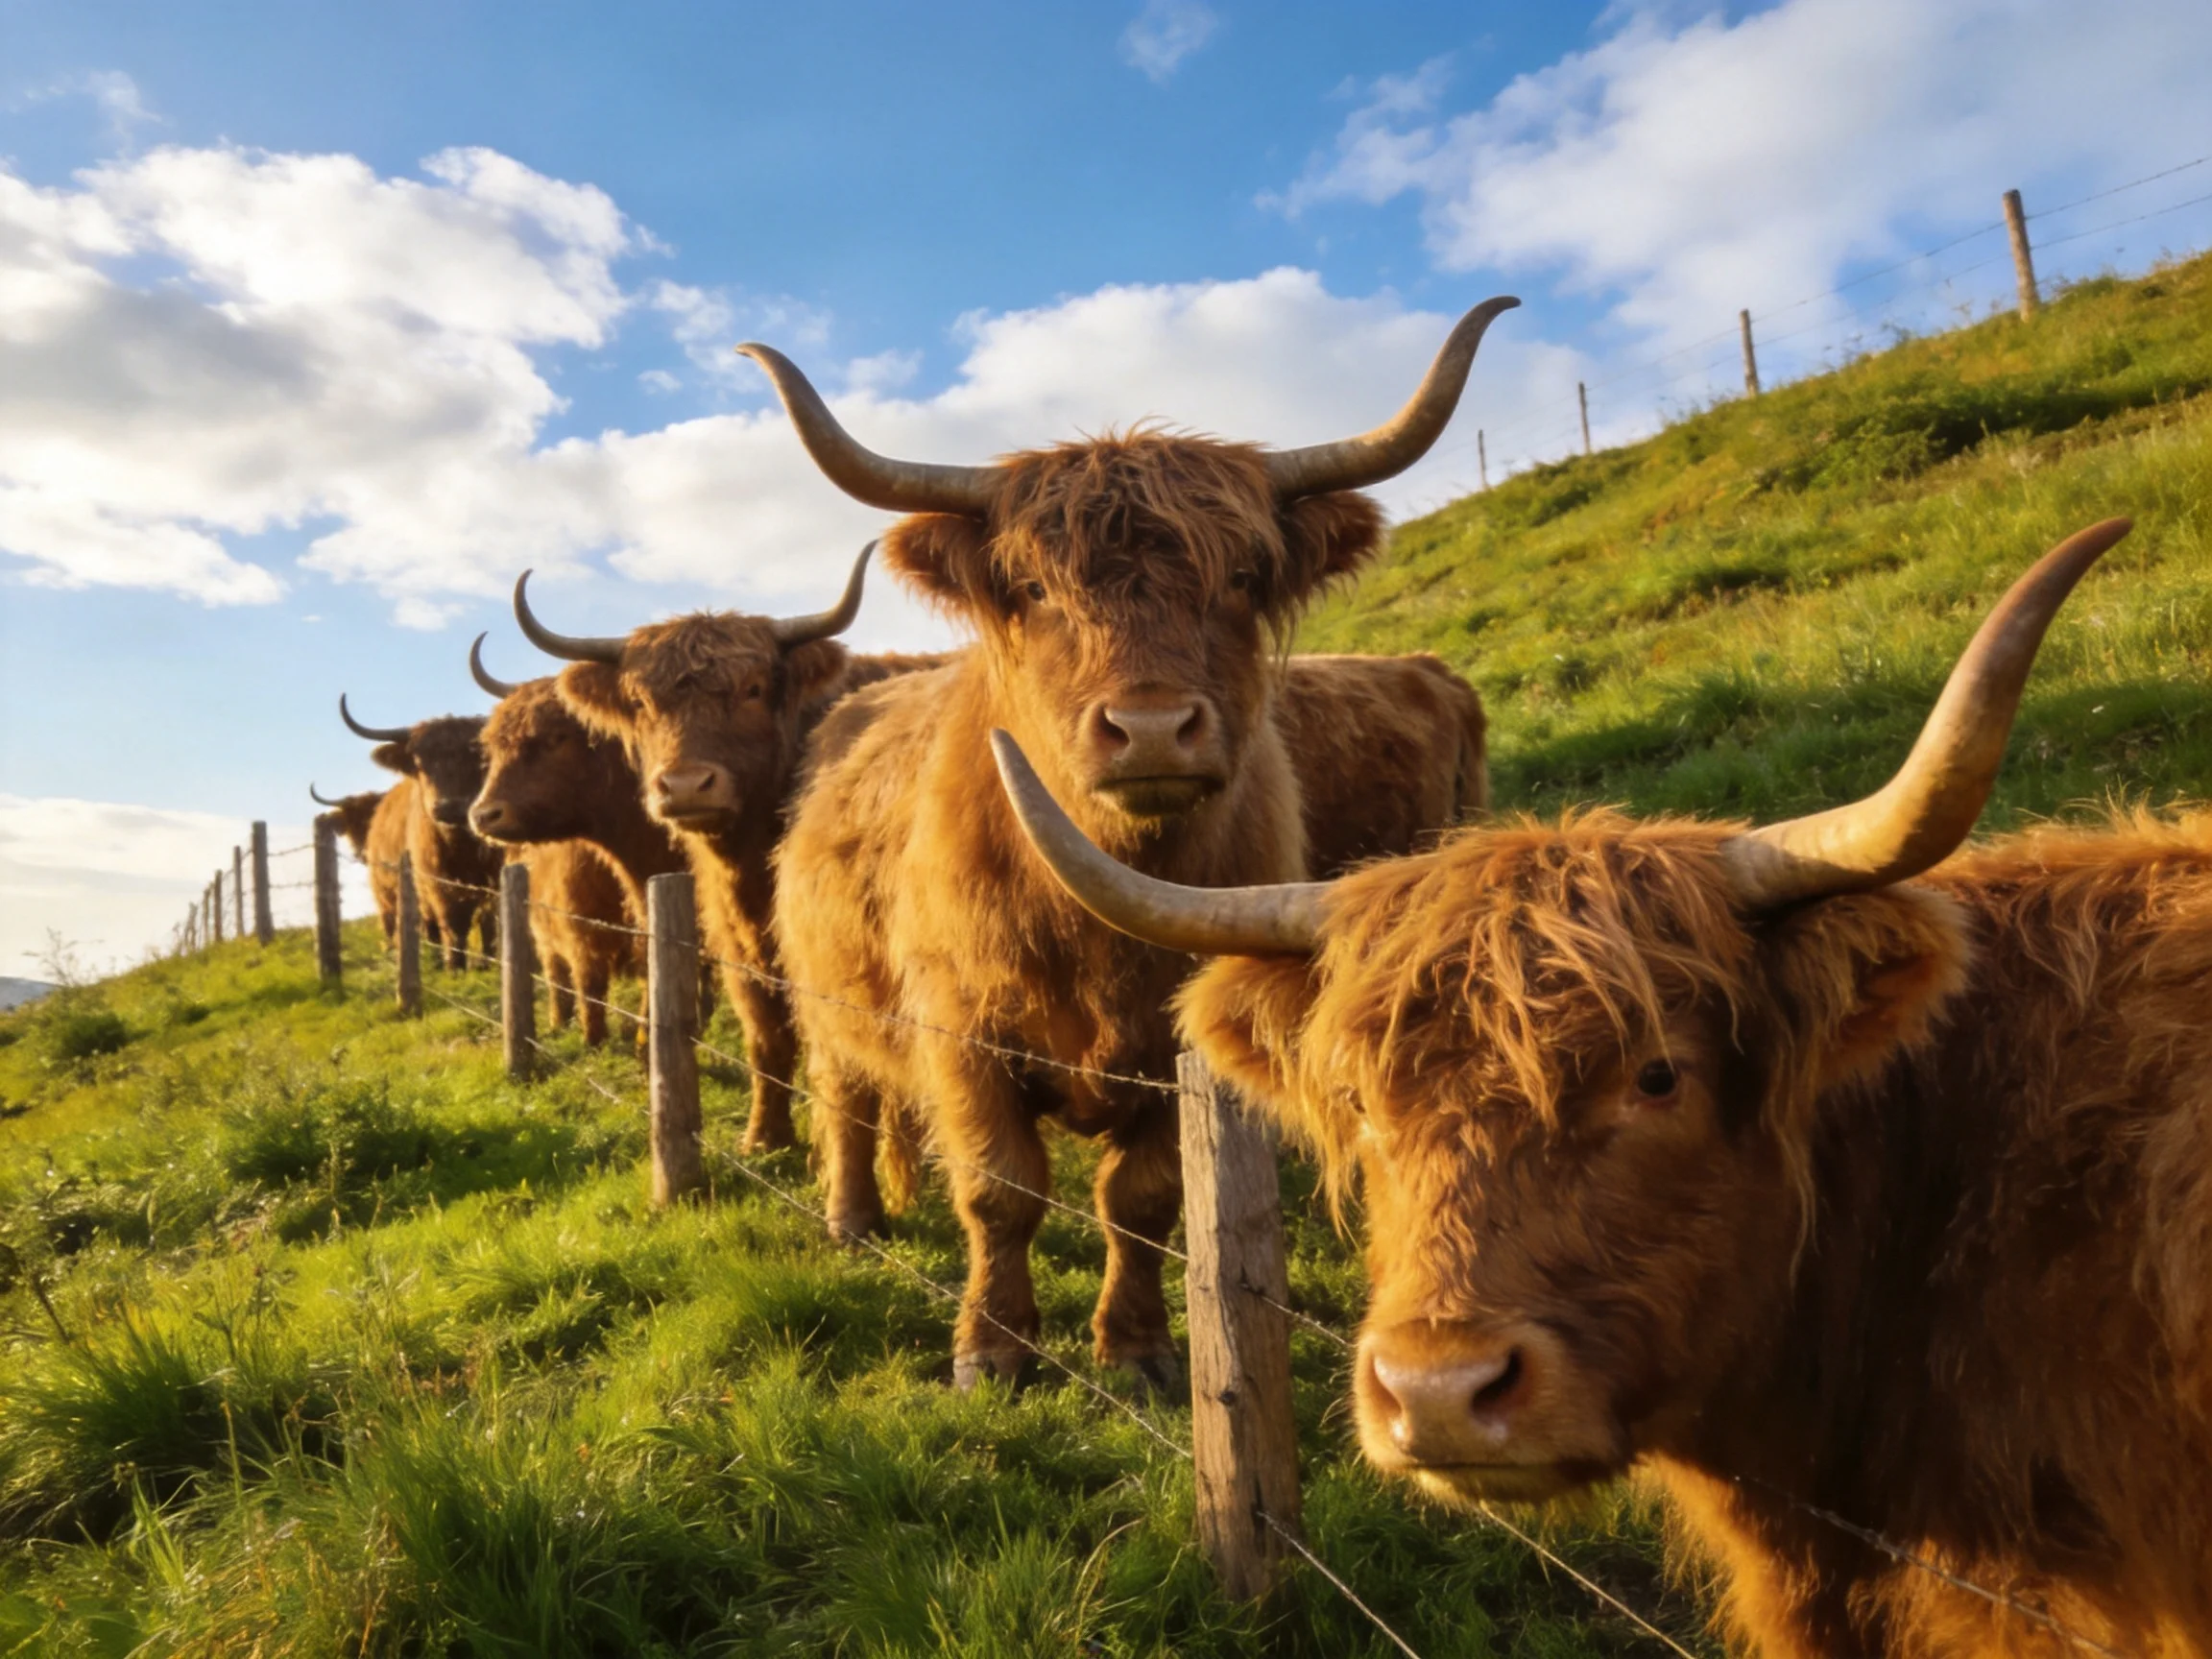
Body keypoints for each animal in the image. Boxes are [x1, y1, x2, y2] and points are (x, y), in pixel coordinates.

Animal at [339, 698, 504, 971]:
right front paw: (455, 968)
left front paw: (488, 963)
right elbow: (453, 926)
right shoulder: (437, 886)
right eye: (420, 763)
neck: (461, 849)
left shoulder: (495, 882)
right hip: (389, 897)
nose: (449, 806)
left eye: (478, 758)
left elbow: (490, 923)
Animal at [510, 547, 944, 1152]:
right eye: (641, 702)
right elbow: (765, 1040)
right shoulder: (741, 953)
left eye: (754, 689)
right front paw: (764, 1136)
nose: (686, 785)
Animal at [747, 296, 1517, 1389]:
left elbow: (1143, 1203)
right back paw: (852, 1218)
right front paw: (994, 1348)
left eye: (1242, 575)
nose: (1150, 728)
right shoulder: (963, 1037)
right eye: (1030, 587)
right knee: (845, 1097)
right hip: (824, 997)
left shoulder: (1177, 1051)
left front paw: (1140, 1348)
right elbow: (999, 1191)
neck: (1103, 919)